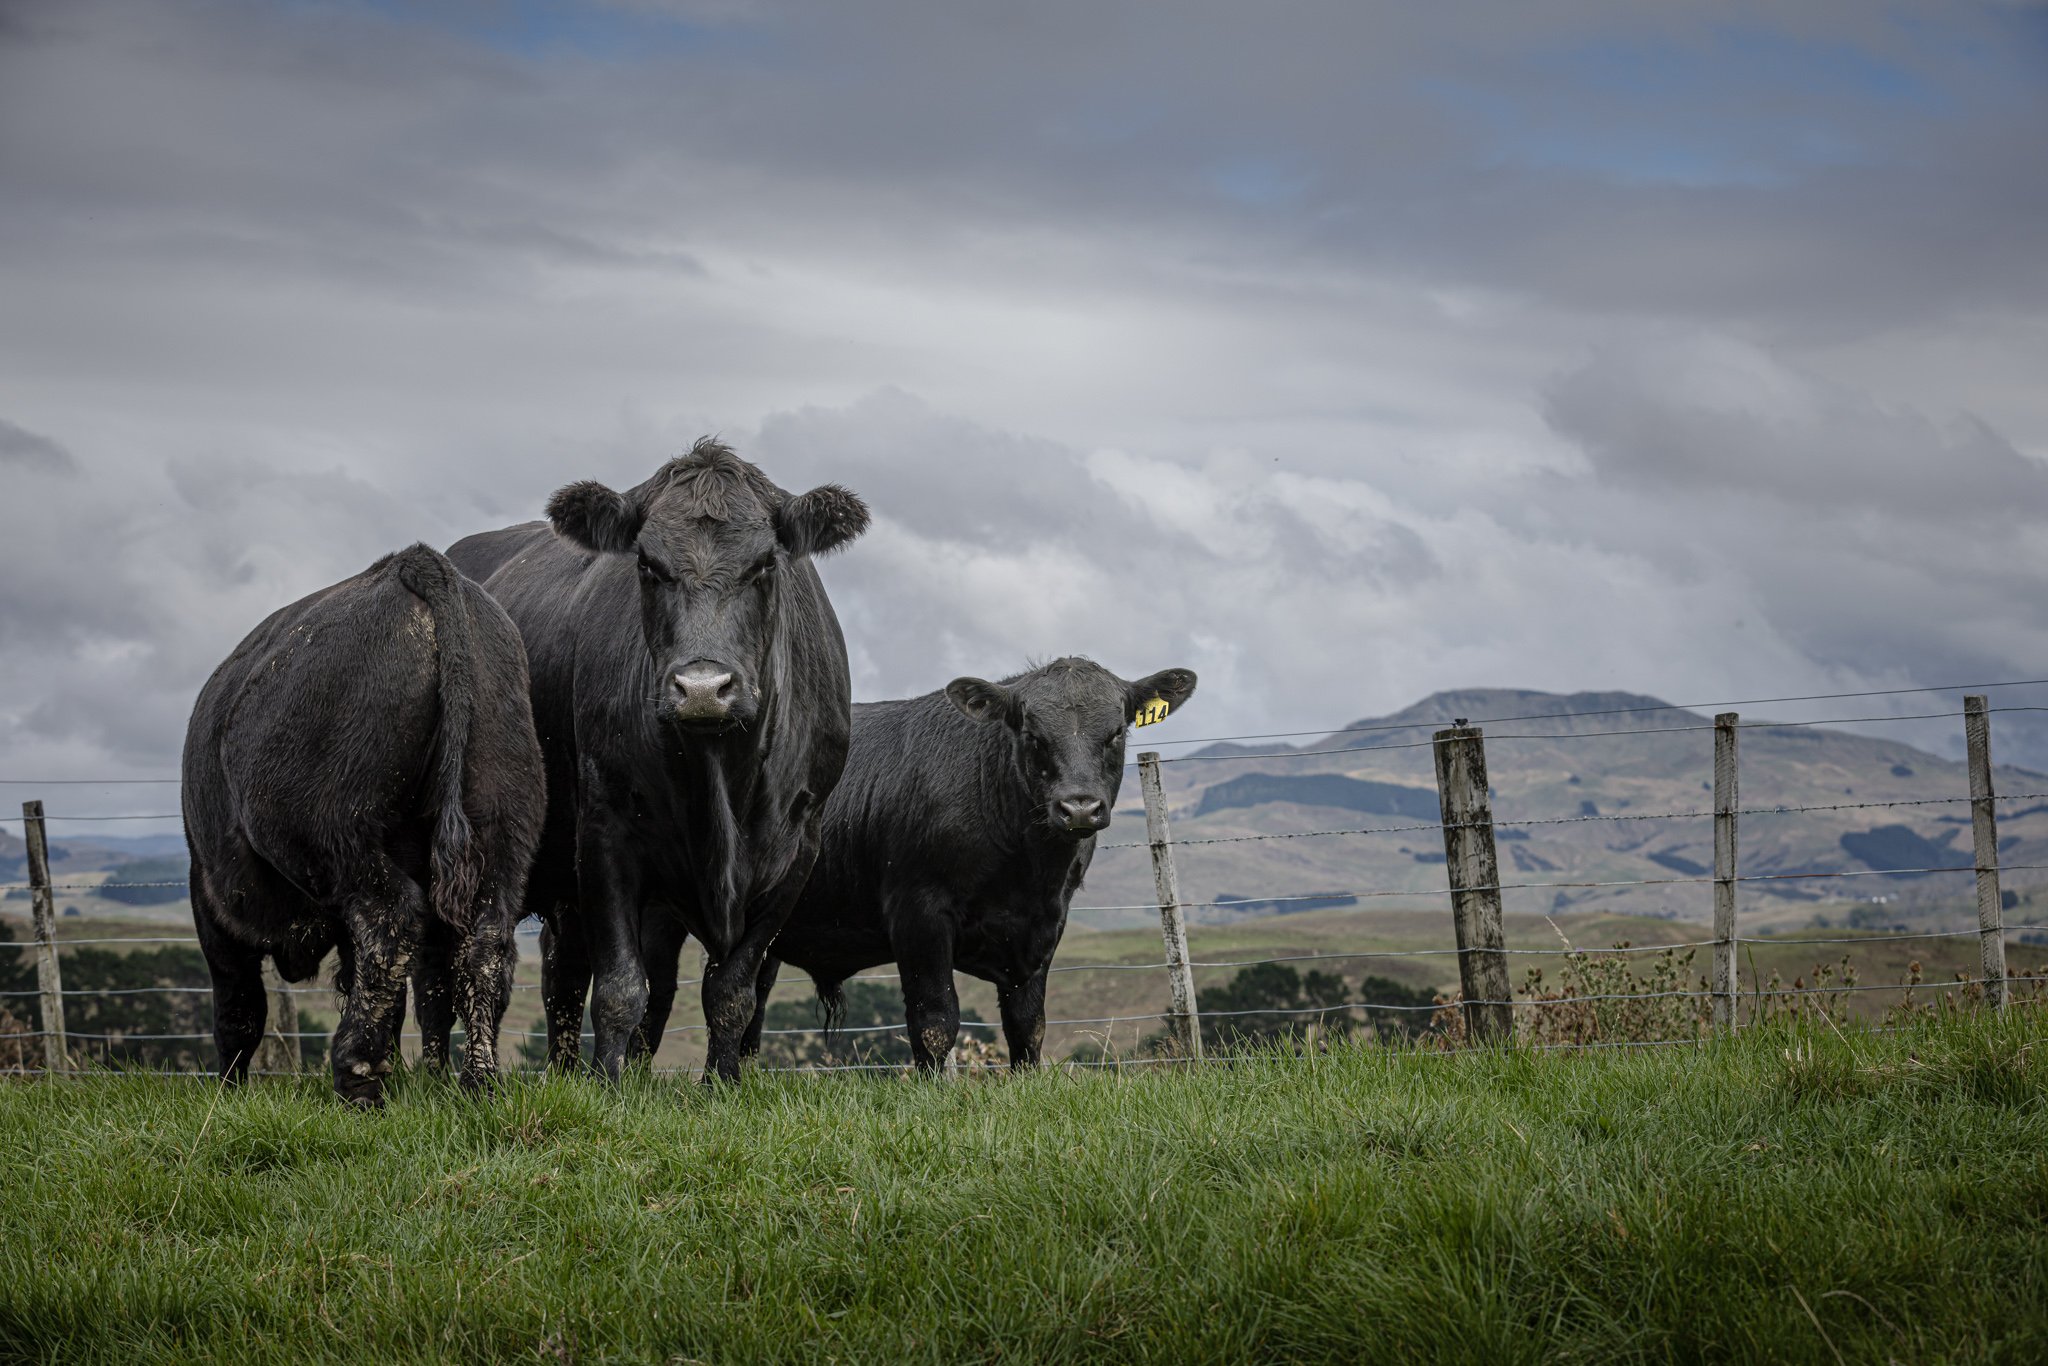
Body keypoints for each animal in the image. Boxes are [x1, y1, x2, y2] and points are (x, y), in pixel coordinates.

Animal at [181, 545, 544, 1106]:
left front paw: (228, 1090)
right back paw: (478, 1082)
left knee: (391, 921)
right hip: (499, 836)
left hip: (344, 844)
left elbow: (238, 1011)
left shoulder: (212, 900)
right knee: (482, 949)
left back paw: (358, 1075)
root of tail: (414, 565)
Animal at [445, 439, 869, 1081]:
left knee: (568, 973)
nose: (702, 688)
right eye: (647, 564)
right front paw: (608, 1085)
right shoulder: (605, 830)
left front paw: (721, 1084)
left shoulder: (799, 847)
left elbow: (732, 991)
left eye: (765, 564)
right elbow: (622, 988)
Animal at [736, 657, 1197, 1072]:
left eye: (1116, 732)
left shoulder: (1044, 926)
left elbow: (1027, 1026)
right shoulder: (918, 913)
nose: (1079, 807)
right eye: (1033, 734)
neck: (1027, 871)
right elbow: (935, 1020)